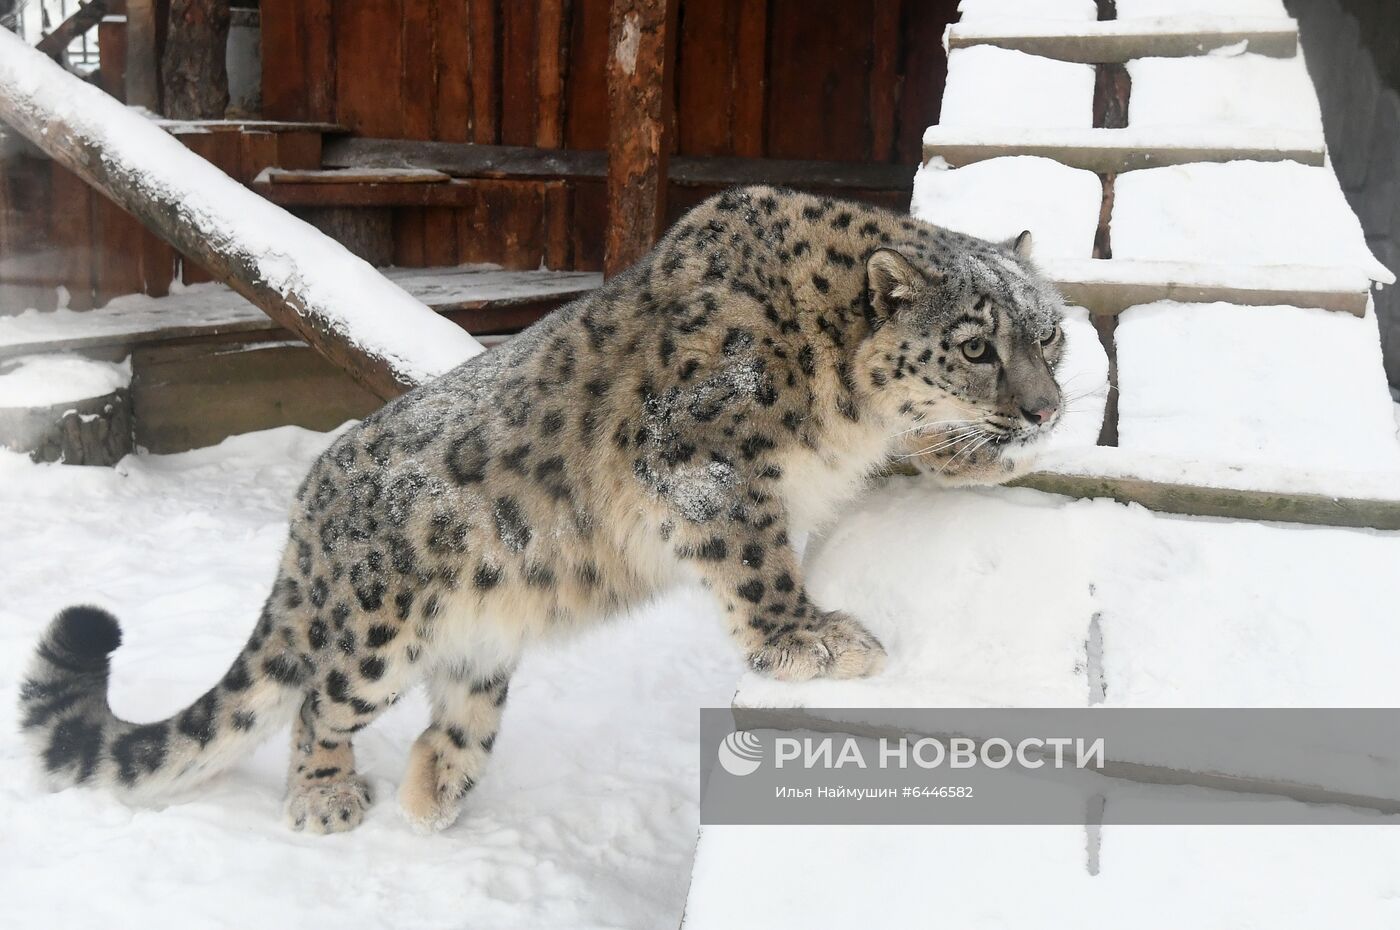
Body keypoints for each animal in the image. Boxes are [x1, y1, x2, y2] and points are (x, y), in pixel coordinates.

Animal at [19, 183, 1058, 834]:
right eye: (975, 345)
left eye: (1048, 333)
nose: (1047, 408)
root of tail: (309, 500)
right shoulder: (706, 463)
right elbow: (759, 562)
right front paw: (812, 640)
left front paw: (974, 456)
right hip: (377, 633)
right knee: (320, 700)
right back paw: (326, 800)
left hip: (480, 635)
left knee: (460, 708)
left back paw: (435, 792)